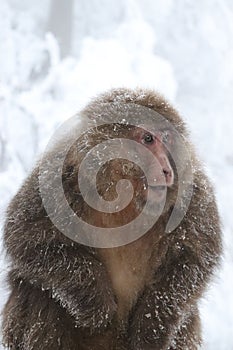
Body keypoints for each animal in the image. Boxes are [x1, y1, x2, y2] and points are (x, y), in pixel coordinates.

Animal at [1, 89, 222, 348]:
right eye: (148, 139)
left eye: (167, 138)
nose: (167, 169)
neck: (123, 195)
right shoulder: (60, 177)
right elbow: (29, 240)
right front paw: (97, 303)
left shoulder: (193, 194)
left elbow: (194, 259)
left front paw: (151, 327)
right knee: (38, 290)